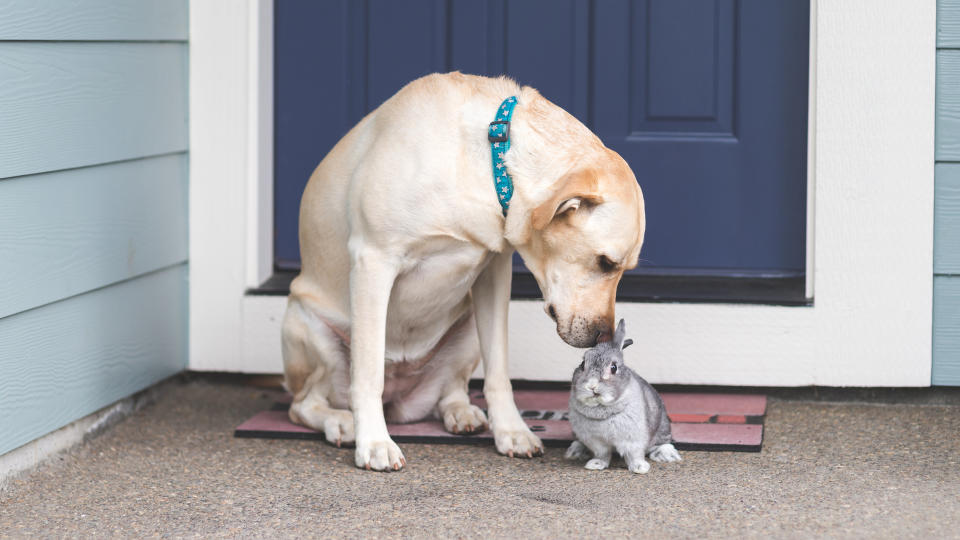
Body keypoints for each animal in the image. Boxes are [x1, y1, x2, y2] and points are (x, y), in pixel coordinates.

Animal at [284, 73, 644, 472]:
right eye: (606, 262)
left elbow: (498, 371)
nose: (605, 337)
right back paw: (341, 422)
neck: (488, 162)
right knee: (304, 404)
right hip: (307, 326)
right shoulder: (373, 261)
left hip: (468, 327)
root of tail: (400, 399)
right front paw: (374, 442)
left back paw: (462, 413)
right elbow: (367, 373)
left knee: (450, 390)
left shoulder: (494, 272)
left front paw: (511, 430)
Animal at [568, 320, 680, 472]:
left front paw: (639, 468)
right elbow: (602, 455)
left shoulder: (633, 439)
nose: (592, 386)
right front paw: (595, 465)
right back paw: (576, 451)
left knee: (663, 440)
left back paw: (666, 454)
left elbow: (634, 454)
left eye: (613, 368)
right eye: (582, 364)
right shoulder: (596, 442)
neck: (601, 408)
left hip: (662, 424)